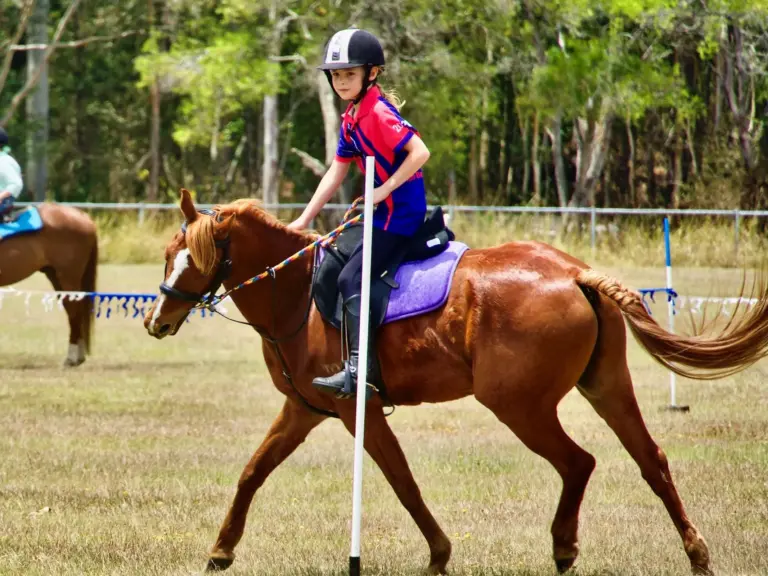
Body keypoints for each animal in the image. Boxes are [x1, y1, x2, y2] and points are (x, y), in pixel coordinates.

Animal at [144, 189, 768, 575]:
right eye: (169, 254)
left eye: (193, 257)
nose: (156, 321)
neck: (297, 294)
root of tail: (574, 272)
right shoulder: (304, 410)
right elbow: (253, 472)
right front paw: (221, 551)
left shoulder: (354, 410)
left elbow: (402, 482)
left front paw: (439, 553)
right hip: (605, 387)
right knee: (650, 460)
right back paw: (695, 553)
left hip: (519, 405)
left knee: (578, 463)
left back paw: (564, 545)